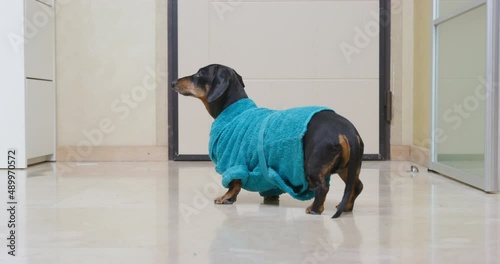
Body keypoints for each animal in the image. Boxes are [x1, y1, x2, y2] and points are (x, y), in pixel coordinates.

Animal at [171, 64, 364, 219]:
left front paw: (226, 197)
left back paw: (315, 209)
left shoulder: (236, 162)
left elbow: (234, 183)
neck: (234, 110)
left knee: (323, 187)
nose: (172, 82)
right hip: (347, 167)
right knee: (357, 185)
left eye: (200, 73)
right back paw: (346, 207)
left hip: (314, 166)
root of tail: (347, 130)